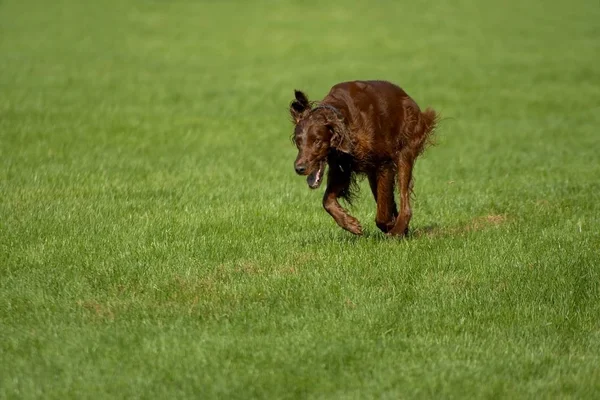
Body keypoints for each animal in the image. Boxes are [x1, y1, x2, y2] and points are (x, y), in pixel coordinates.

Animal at [290, 81, 436, 238]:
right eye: (298, 142)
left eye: (317, 141)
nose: (299, 168)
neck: (345, 121)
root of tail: (407, 97)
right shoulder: (342, 168)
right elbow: (327, 201)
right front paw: (350, 224)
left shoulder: (384, 164)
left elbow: (382, 214)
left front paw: (389, 226)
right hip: (373, 173)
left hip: (405, 151)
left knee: (404, 201)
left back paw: (398, 230)